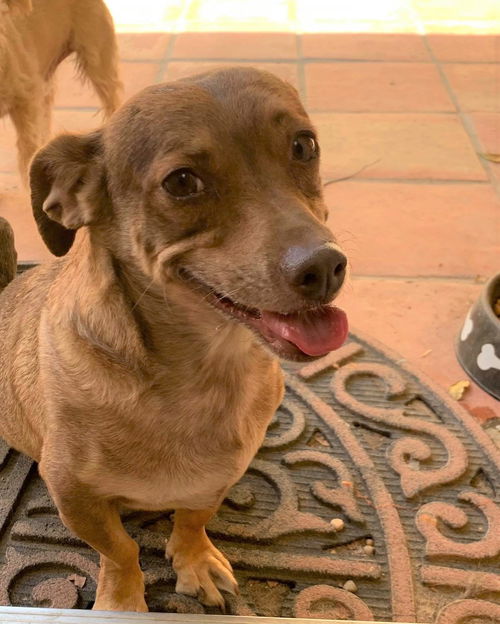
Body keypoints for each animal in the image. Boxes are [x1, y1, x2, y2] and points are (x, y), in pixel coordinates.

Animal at [0, 67, 348, 608]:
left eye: (303, 145)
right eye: (182, 182)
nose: (325, 267)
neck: (201, 376)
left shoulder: (217, 478)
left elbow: (192, 519)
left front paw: (195, 560)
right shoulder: (75, 497)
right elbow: (120, 549)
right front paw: (122, 600)